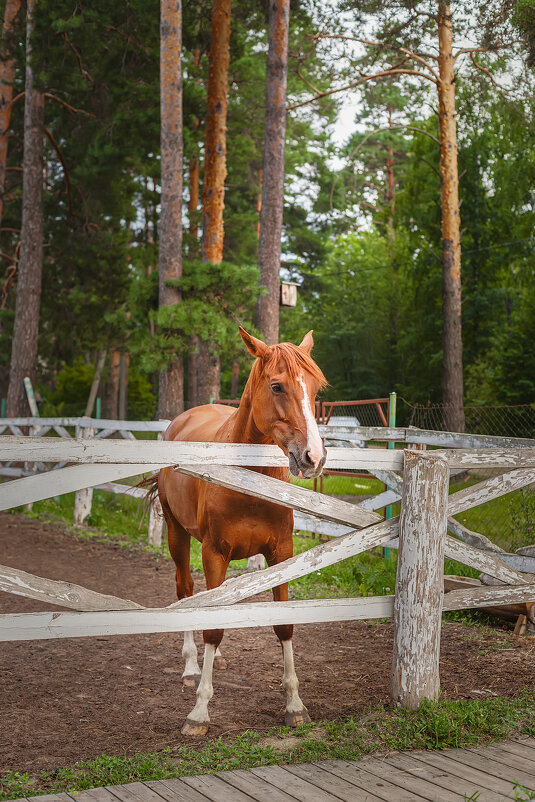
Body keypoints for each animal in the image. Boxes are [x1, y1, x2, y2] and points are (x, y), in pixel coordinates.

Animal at [157, 324, 328, 732]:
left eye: (316, 388)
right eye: (277, 386)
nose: (313, 457)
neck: (249, 478)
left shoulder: (281, 553)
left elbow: (283, 626)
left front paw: (295, 705)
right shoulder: (214, 553)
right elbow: (212, 626)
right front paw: (199, 712)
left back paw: (213, 661)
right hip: (177, 534)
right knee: (186, 591)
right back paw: (192, 669)